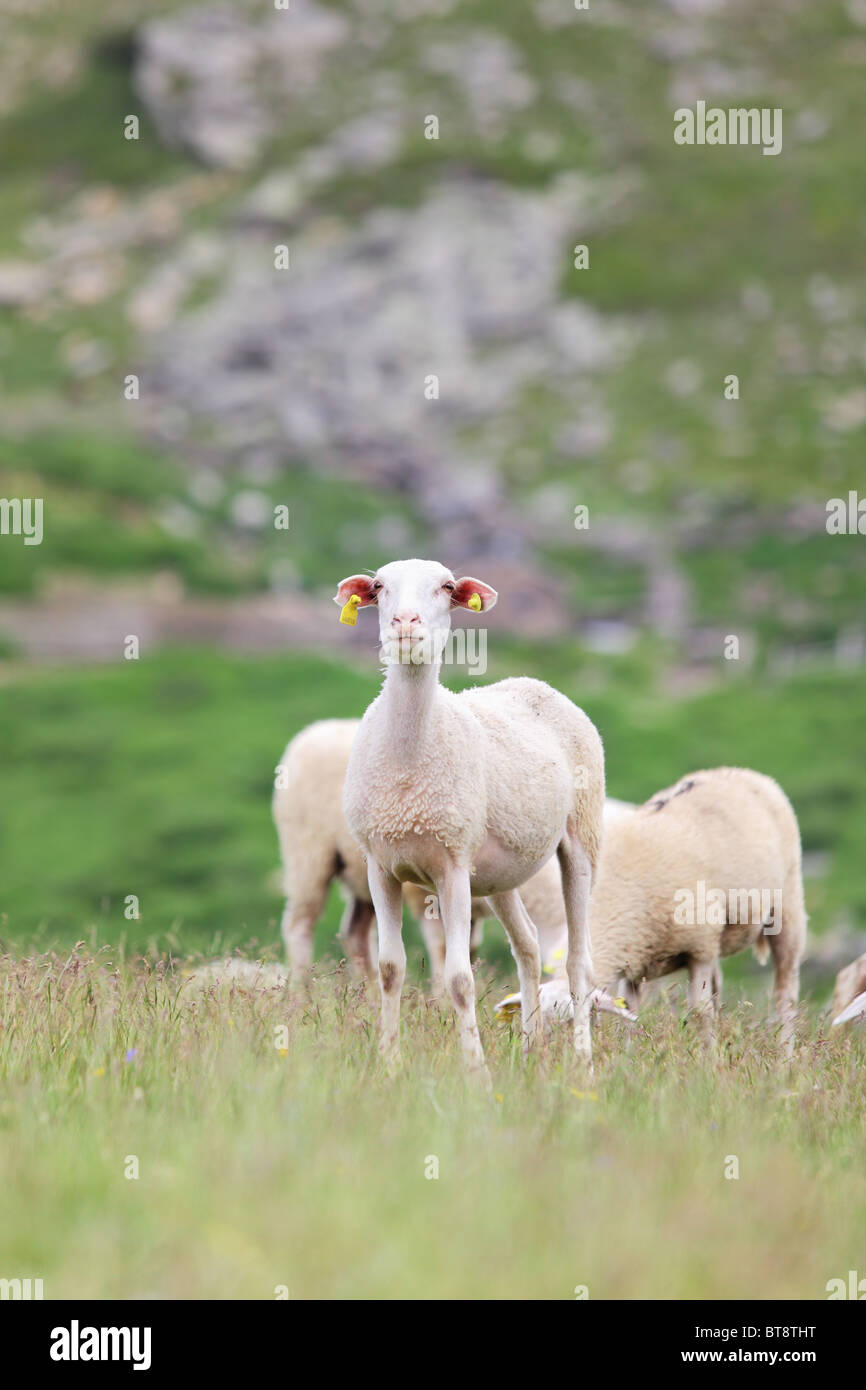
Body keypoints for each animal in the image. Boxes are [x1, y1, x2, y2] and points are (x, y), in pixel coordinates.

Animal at [336, 558, 605, 1083]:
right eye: (378, 586)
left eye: (445, 587)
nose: (405, 623)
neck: (408, 763)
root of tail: (533, 684)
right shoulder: (380, 865)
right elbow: (390, 969)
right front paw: (389, 1063)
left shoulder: (452, 866)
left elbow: (460, 979)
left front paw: (475, 1073)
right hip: (499, 873)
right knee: (528, 945)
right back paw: (532, 1051)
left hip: (582, 836)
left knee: (579, 964)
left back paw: (583, 1064)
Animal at [497, 767, 807, 1052]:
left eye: (579, 1020)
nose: (551, 1058)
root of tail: (741, 773)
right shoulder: (635, 964)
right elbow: (630, 1015)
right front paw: (627, 1060)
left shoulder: (700, 948)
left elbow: (700, 1012)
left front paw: (708, 1060)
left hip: (787, 905)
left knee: (785, 992)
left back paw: (785, 1055)